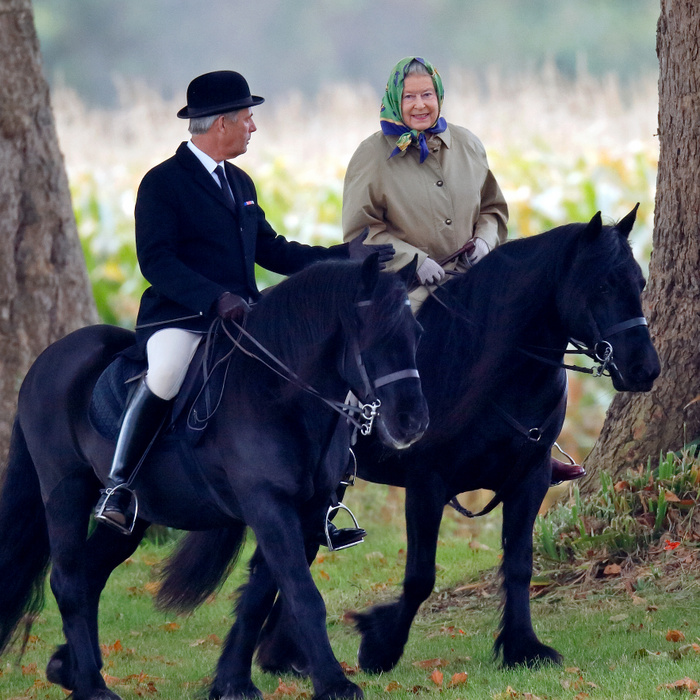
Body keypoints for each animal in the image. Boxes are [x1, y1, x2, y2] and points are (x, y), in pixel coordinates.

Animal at [0, 256, 430, 700]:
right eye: (372, 335)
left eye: (416, 333)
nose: (412, 423)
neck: (277, 395)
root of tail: (46, 361)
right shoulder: (268, 505)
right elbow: (303, 595)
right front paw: (334, 683)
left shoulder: (306, 512)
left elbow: (260, 597)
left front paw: (233, 682)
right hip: (65, 490)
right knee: (67, 580)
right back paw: (91, 686)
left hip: (134, 516)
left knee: (90, 574)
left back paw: (68, 668)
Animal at [168, 209, 656, 680]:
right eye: (602, 284)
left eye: (640, 282)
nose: (644, 368)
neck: (489, 365)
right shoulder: (427, 484)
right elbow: (420, 576)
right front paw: (380, 645)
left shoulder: (530, 477)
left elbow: (519, 564)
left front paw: (523, 647)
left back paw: (282, 656)